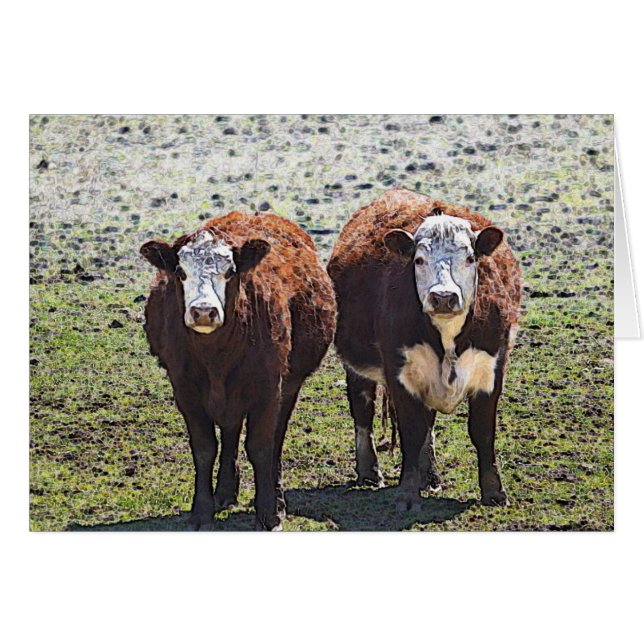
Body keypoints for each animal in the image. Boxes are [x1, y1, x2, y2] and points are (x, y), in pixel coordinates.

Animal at [140, 211, 336, 530]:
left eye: (230, 271)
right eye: (180, 272)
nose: (203, 311)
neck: (216, 355)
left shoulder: (269, 388)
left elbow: (261, 447)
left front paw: (269, 512)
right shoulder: (185, 390)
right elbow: (205, 449)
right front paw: (202, 511)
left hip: (288, 386)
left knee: (275, 441)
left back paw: (276, 497)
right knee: (230, 431)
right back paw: (224, 492)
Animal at [327, 189, 521, 510]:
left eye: (470, 258)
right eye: (418, 260)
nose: (443, 297)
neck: (448, 338)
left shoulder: (492, 368)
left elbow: (481, 431)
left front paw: (494, 492)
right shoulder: (401, 373)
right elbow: (412, 431)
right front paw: (406, 494)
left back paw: (429, 476)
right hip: (358, 369)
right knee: (363, 412)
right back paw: (370, 472)